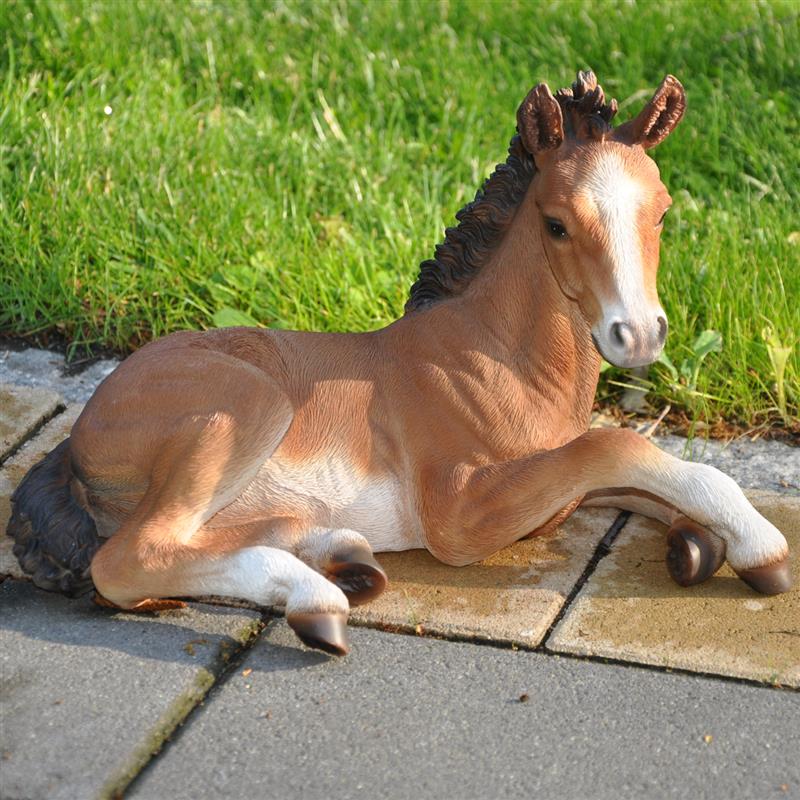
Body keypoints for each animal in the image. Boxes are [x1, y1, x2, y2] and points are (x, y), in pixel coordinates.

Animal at [9, 70, 791, 656]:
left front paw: (701, 544)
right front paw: (760, 547)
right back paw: (318, 597)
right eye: (557, 224)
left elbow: (634, 481)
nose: (639, 335)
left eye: (661, 211)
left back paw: (336, 550)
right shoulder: (460, 512)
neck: (495, 356)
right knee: (130, 556)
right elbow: (618, 446)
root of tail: (81, 433)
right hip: (245, 408)